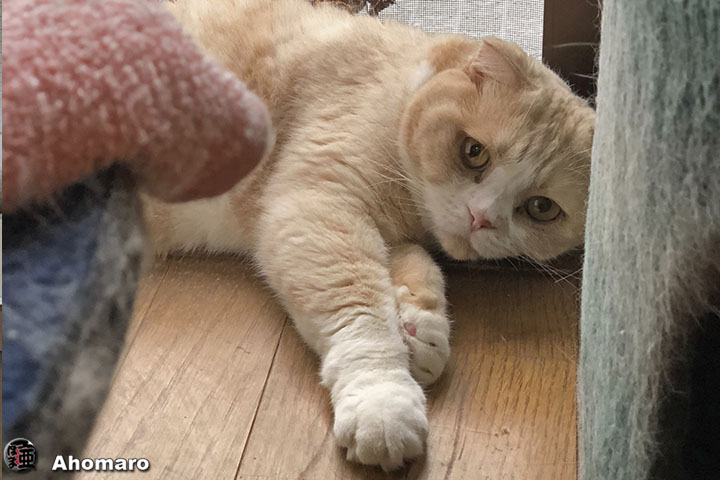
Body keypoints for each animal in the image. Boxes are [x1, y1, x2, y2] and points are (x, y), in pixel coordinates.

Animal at [145, 0, 595, 470]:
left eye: (541, 208)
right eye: (474, 152)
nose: (480, 218)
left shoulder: (382, 232)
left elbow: (416, 267)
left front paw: (420, 328)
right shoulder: (319, 205)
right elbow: (362, 310)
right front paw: (384, 398)